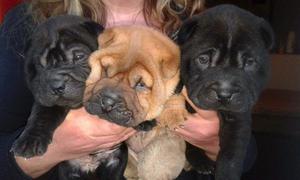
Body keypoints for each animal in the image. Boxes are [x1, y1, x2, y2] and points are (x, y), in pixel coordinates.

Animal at [10, 15, 126, 180]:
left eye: (79, 57)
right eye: (41, 65)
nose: (57, 85)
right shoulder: (45, 100)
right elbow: (42, 115)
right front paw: (29, 141)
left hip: (115, 160)